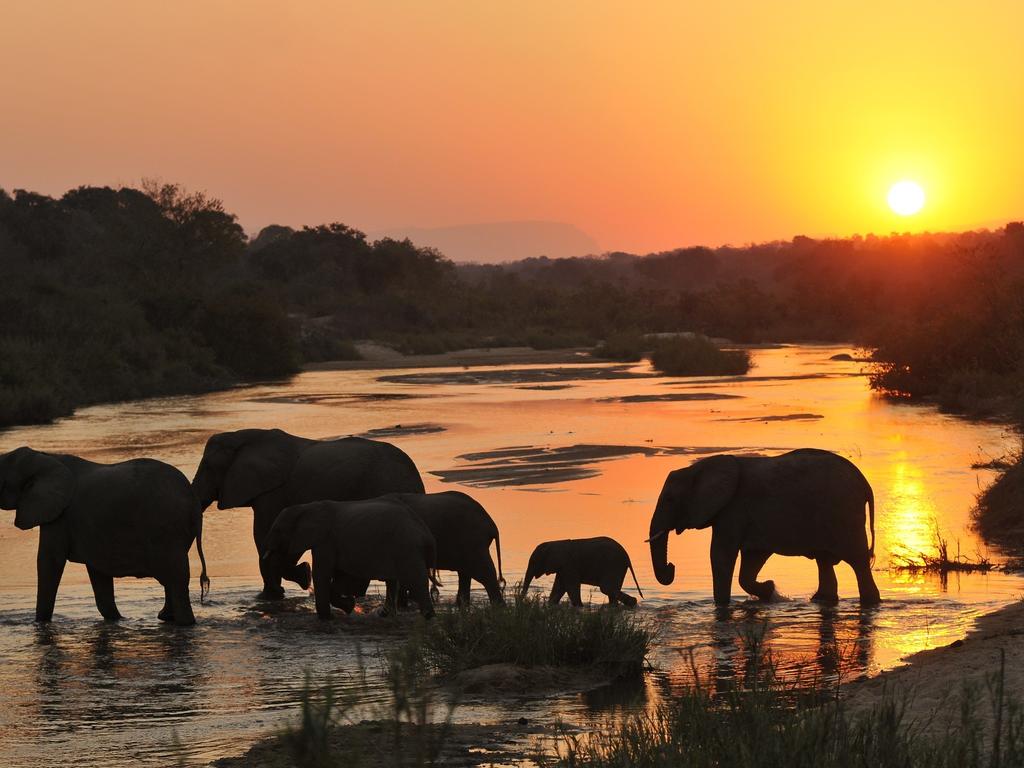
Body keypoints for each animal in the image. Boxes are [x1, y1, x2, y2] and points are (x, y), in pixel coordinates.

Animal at [0, 448, 209, 626]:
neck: (45, 456)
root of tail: (193, 499)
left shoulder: (60, 516)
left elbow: (49, 561)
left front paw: (40, 624)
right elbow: (98, 573)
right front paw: (117, 620)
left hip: (166, 528)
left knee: (176, 576)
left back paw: (185, 623)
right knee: (171, 577)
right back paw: (165, 617)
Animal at [192, 428, 423, 602]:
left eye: (208, 467)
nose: (204, 584)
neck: (242, 437)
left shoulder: (273, 492)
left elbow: (264, 535)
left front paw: (273, 594)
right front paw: (301, 577)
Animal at [260, 499, 436, 618]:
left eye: (277, 530)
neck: (307, 507)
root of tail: (424, 532)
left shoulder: (326, 540)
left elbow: (322, 574)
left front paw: (327, 617)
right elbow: (340, 575)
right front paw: (349, 606)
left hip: (407, 547)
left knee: (416, 579)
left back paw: (428, 616)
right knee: (393, 581)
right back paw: (385, 614)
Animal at [647, 450, 880, 606]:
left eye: (669, 499)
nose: (672, 566)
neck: (698, 468)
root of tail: (865, 484)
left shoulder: (734, 508)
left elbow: (721, 555)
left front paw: (722, 606)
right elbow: (752, 558)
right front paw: (769, 590)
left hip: (845, 515)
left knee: (858, 561)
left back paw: (870, 602)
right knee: (824, 560)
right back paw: (820, 600)